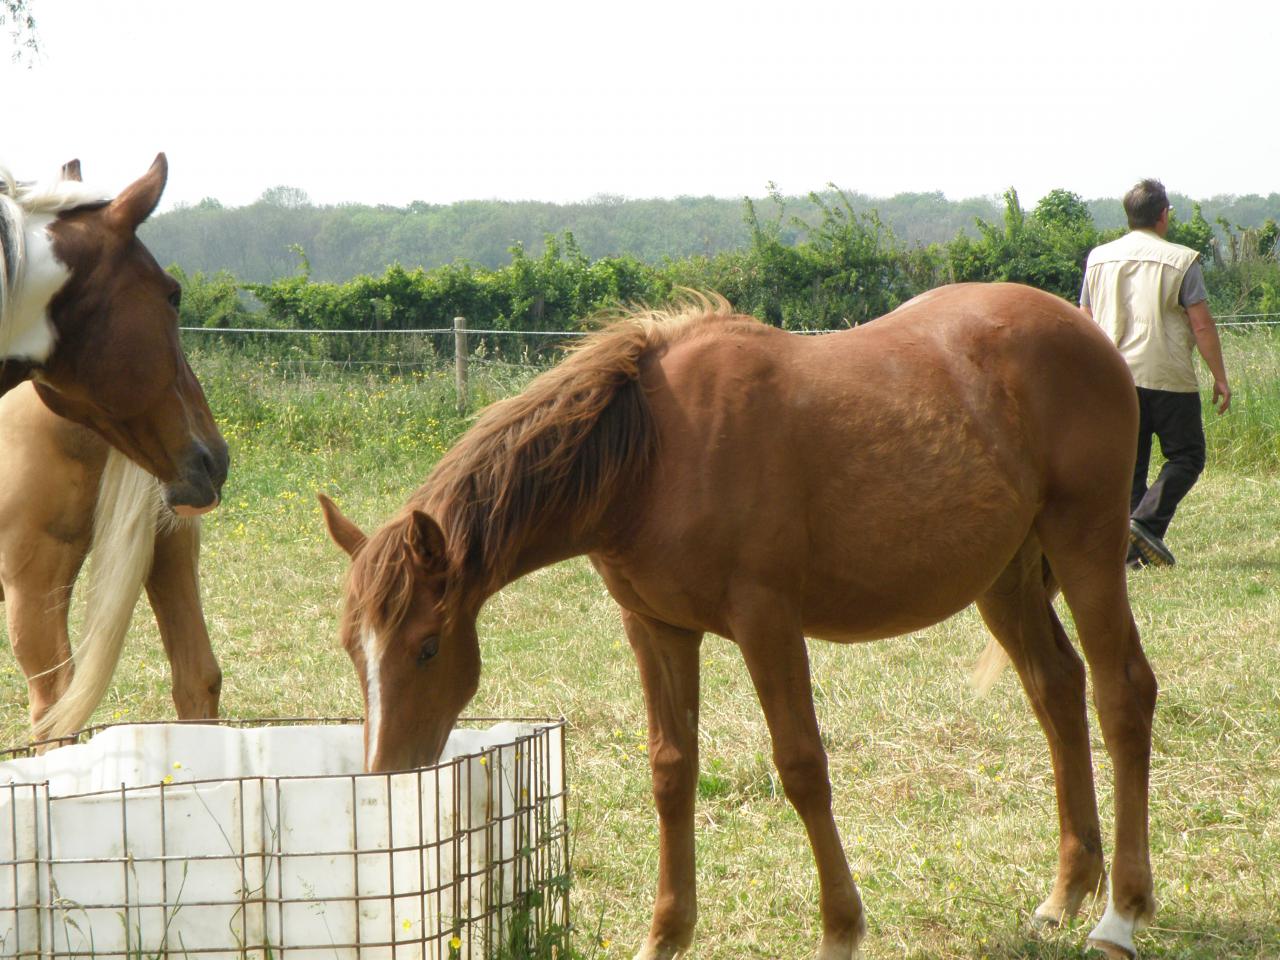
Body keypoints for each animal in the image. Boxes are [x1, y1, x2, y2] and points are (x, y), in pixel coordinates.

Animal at [318, 283, 1157, 960]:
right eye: (352, 651)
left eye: (427, 648)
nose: (386, 777)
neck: (651, 454)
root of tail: (1086, 331)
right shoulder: (654, 629)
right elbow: (670, 772)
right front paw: (665, 934)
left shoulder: (767, 622)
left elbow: (802, 767)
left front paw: (840, 929)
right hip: (1005, 576)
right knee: (1057, 690)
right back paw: (1067, 892)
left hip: (1085, 546)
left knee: (1122, 694)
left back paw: (1120, 913)